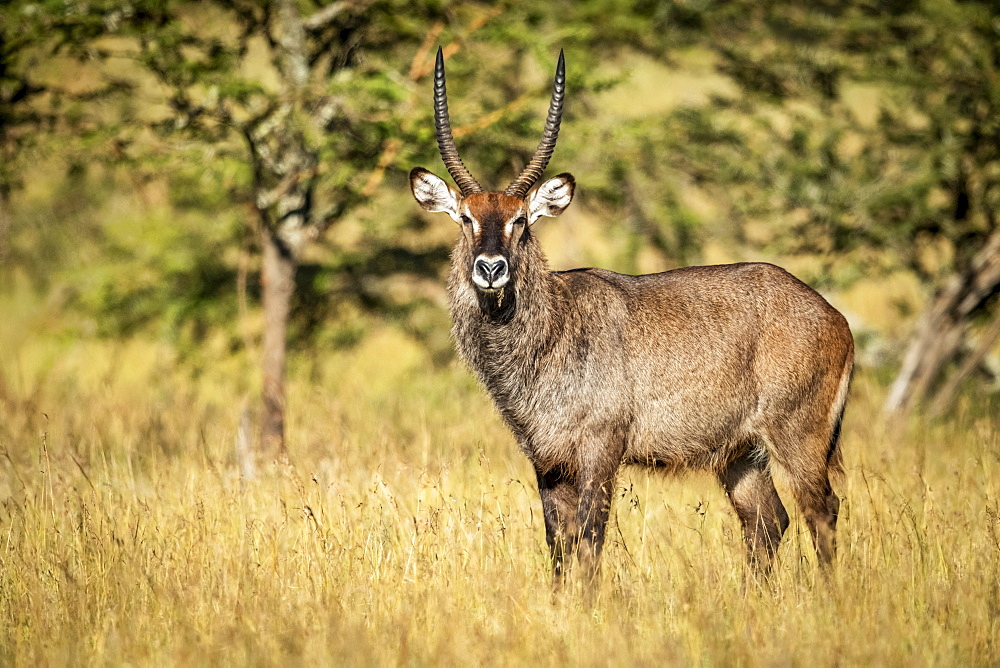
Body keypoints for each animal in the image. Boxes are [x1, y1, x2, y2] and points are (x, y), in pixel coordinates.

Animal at [410, 48, 856, 580]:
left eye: (520, 220)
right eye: (465, 217)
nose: (492, 268)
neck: (554, 327)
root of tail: (834, 317)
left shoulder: (603, 448)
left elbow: (589, 540)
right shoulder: (546, 460)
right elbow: (557, 545)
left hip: (797, 436)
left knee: (822, 511)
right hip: (741, 454)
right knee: (768, 521)